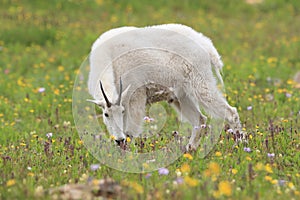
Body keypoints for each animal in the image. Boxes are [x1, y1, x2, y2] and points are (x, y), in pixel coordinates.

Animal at [86, 23, 241, 150]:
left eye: (122, 112)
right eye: (106, 114)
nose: (119, 139)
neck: (110, 59)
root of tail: (206, 45)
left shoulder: (135, 96)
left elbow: (130, 132)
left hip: (201, 81)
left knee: (230, 112)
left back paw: (238, 145)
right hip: (181, 95)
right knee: (200, 119)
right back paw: (190, 149)